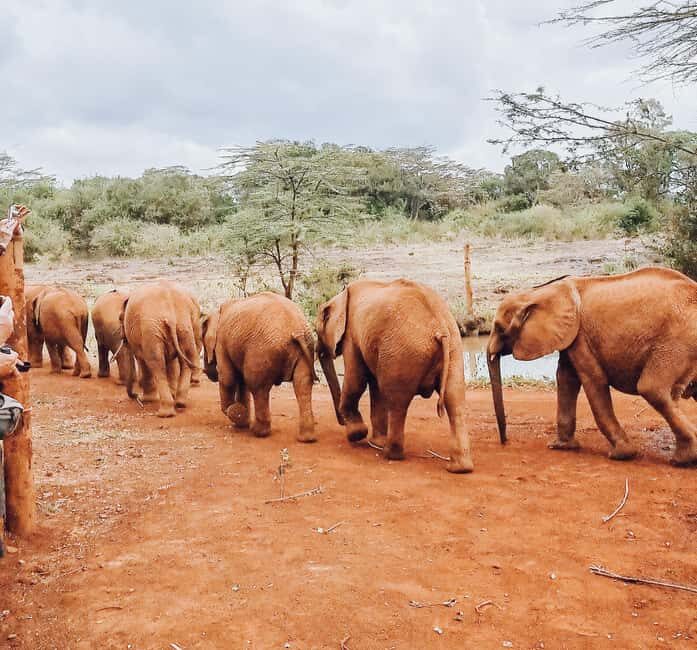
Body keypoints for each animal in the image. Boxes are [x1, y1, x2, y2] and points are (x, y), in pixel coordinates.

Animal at [120, 280, 201, 418]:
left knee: (156, 363)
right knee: (187, 357)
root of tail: (171, 315)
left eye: (120, 319)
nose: (135, 396)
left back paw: (164, 413)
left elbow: (142, 359)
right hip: (186, 325)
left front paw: (146, 400)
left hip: (151, 329)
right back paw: (180, 403)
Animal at [202, 292, 317, 442]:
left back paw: (258, 432)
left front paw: (237, 413)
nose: (205, 371)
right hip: (306, 348)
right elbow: (241, 381)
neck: (216, 312)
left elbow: (228, 377)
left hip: (262, 351)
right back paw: (307, 439)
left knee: (257, 386)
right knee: (302, 385)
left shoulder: (221, 341)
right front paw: (242, 421)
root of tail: (296, 328)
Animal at [316, 278, 473, 473]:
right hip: (453, 347)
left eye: (316, 331)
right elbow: (375, 387)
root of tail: (439, 328)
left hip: (404, 353)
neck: (339, 297)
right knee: (455, 400)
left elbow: (356, 381)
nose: (341, 422)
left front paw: (357, 435)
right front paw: (372, 440)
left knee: (398, 402)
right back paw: (459, 468)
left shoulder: (351, 336)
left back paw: (389, 454)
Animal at [487, 267, 697, 466]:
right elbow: (566, 378)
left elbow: (593, 378)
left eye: (499, 328)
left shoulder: (579, 336)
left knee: (651, 388)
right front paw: (560, 446)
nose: (505, 442)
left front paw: (621, 455)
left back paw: (682, 460)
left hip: (677, 341)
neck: (537, 292)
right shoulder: (571, 336)